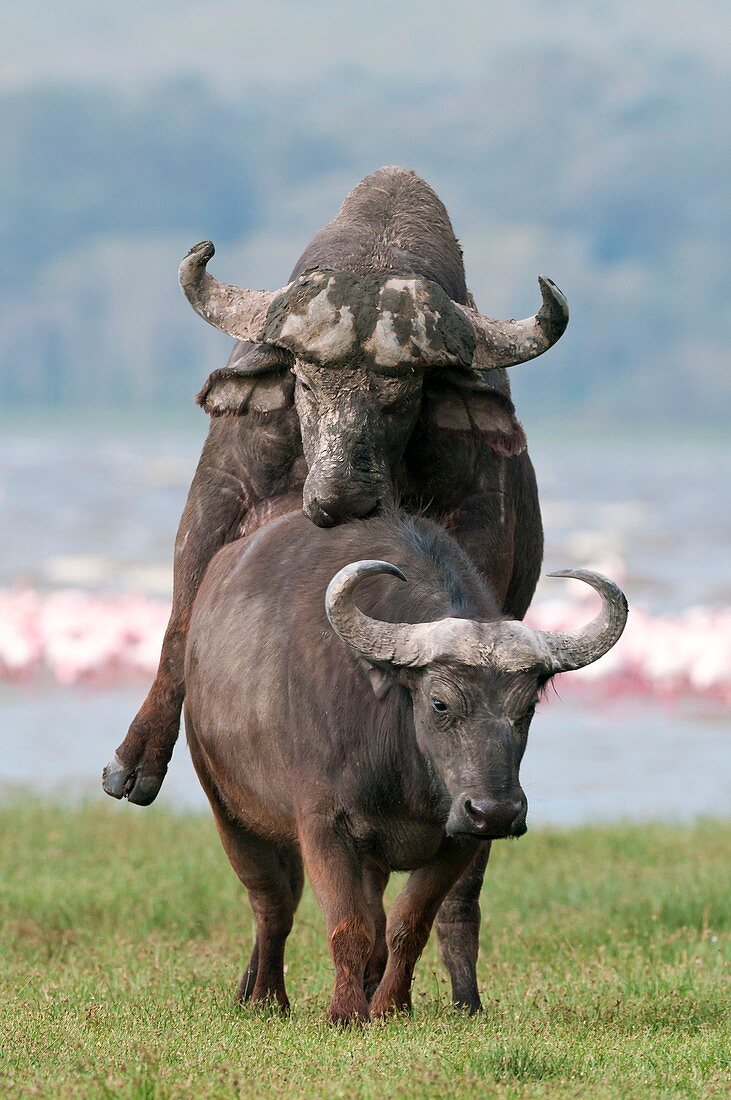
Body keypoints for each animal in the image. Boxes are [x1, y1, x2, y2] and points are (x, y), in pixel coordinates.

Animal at [183, 508, 628, 1020]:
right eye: (439, 702)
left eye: (528, 707)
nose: (496, 811)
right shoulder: (322, 824)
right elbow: (347, 924)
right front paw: (346, 1012)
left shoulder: (459, 838)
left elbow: (407, 924)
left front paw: (390, 1006)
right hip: (227, 806)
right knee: (273, 905)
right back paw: (267, 998)